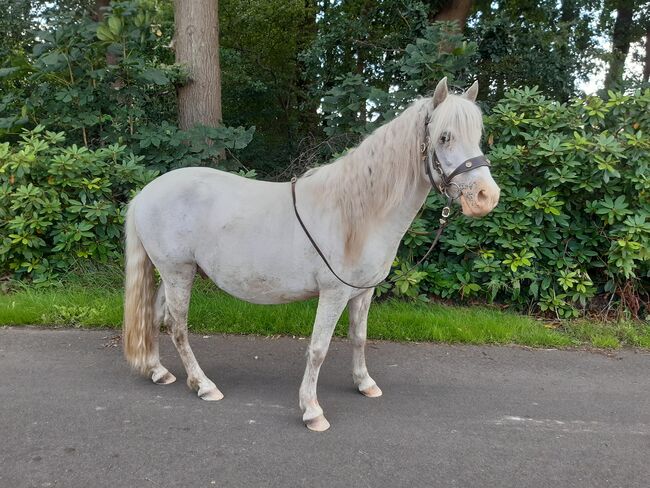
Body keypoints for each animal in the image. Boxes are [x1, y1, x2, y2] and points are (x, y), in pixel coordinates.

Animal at [121, 78, 498, 432]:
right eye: (445, 137)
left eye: (478, 136)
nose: (486, 196)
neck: (356, 213)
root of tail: (145, 193)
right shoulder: (334, 293)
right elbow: (318, 349)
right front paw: (312, 410)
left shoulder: (362, 292)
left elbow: (359, 338)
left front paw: (364, 383)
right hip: (178, 273)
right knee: (177, 327)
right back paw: (203, 385)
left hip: (173, 273)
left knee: (155, 316)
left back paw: (158, 371)